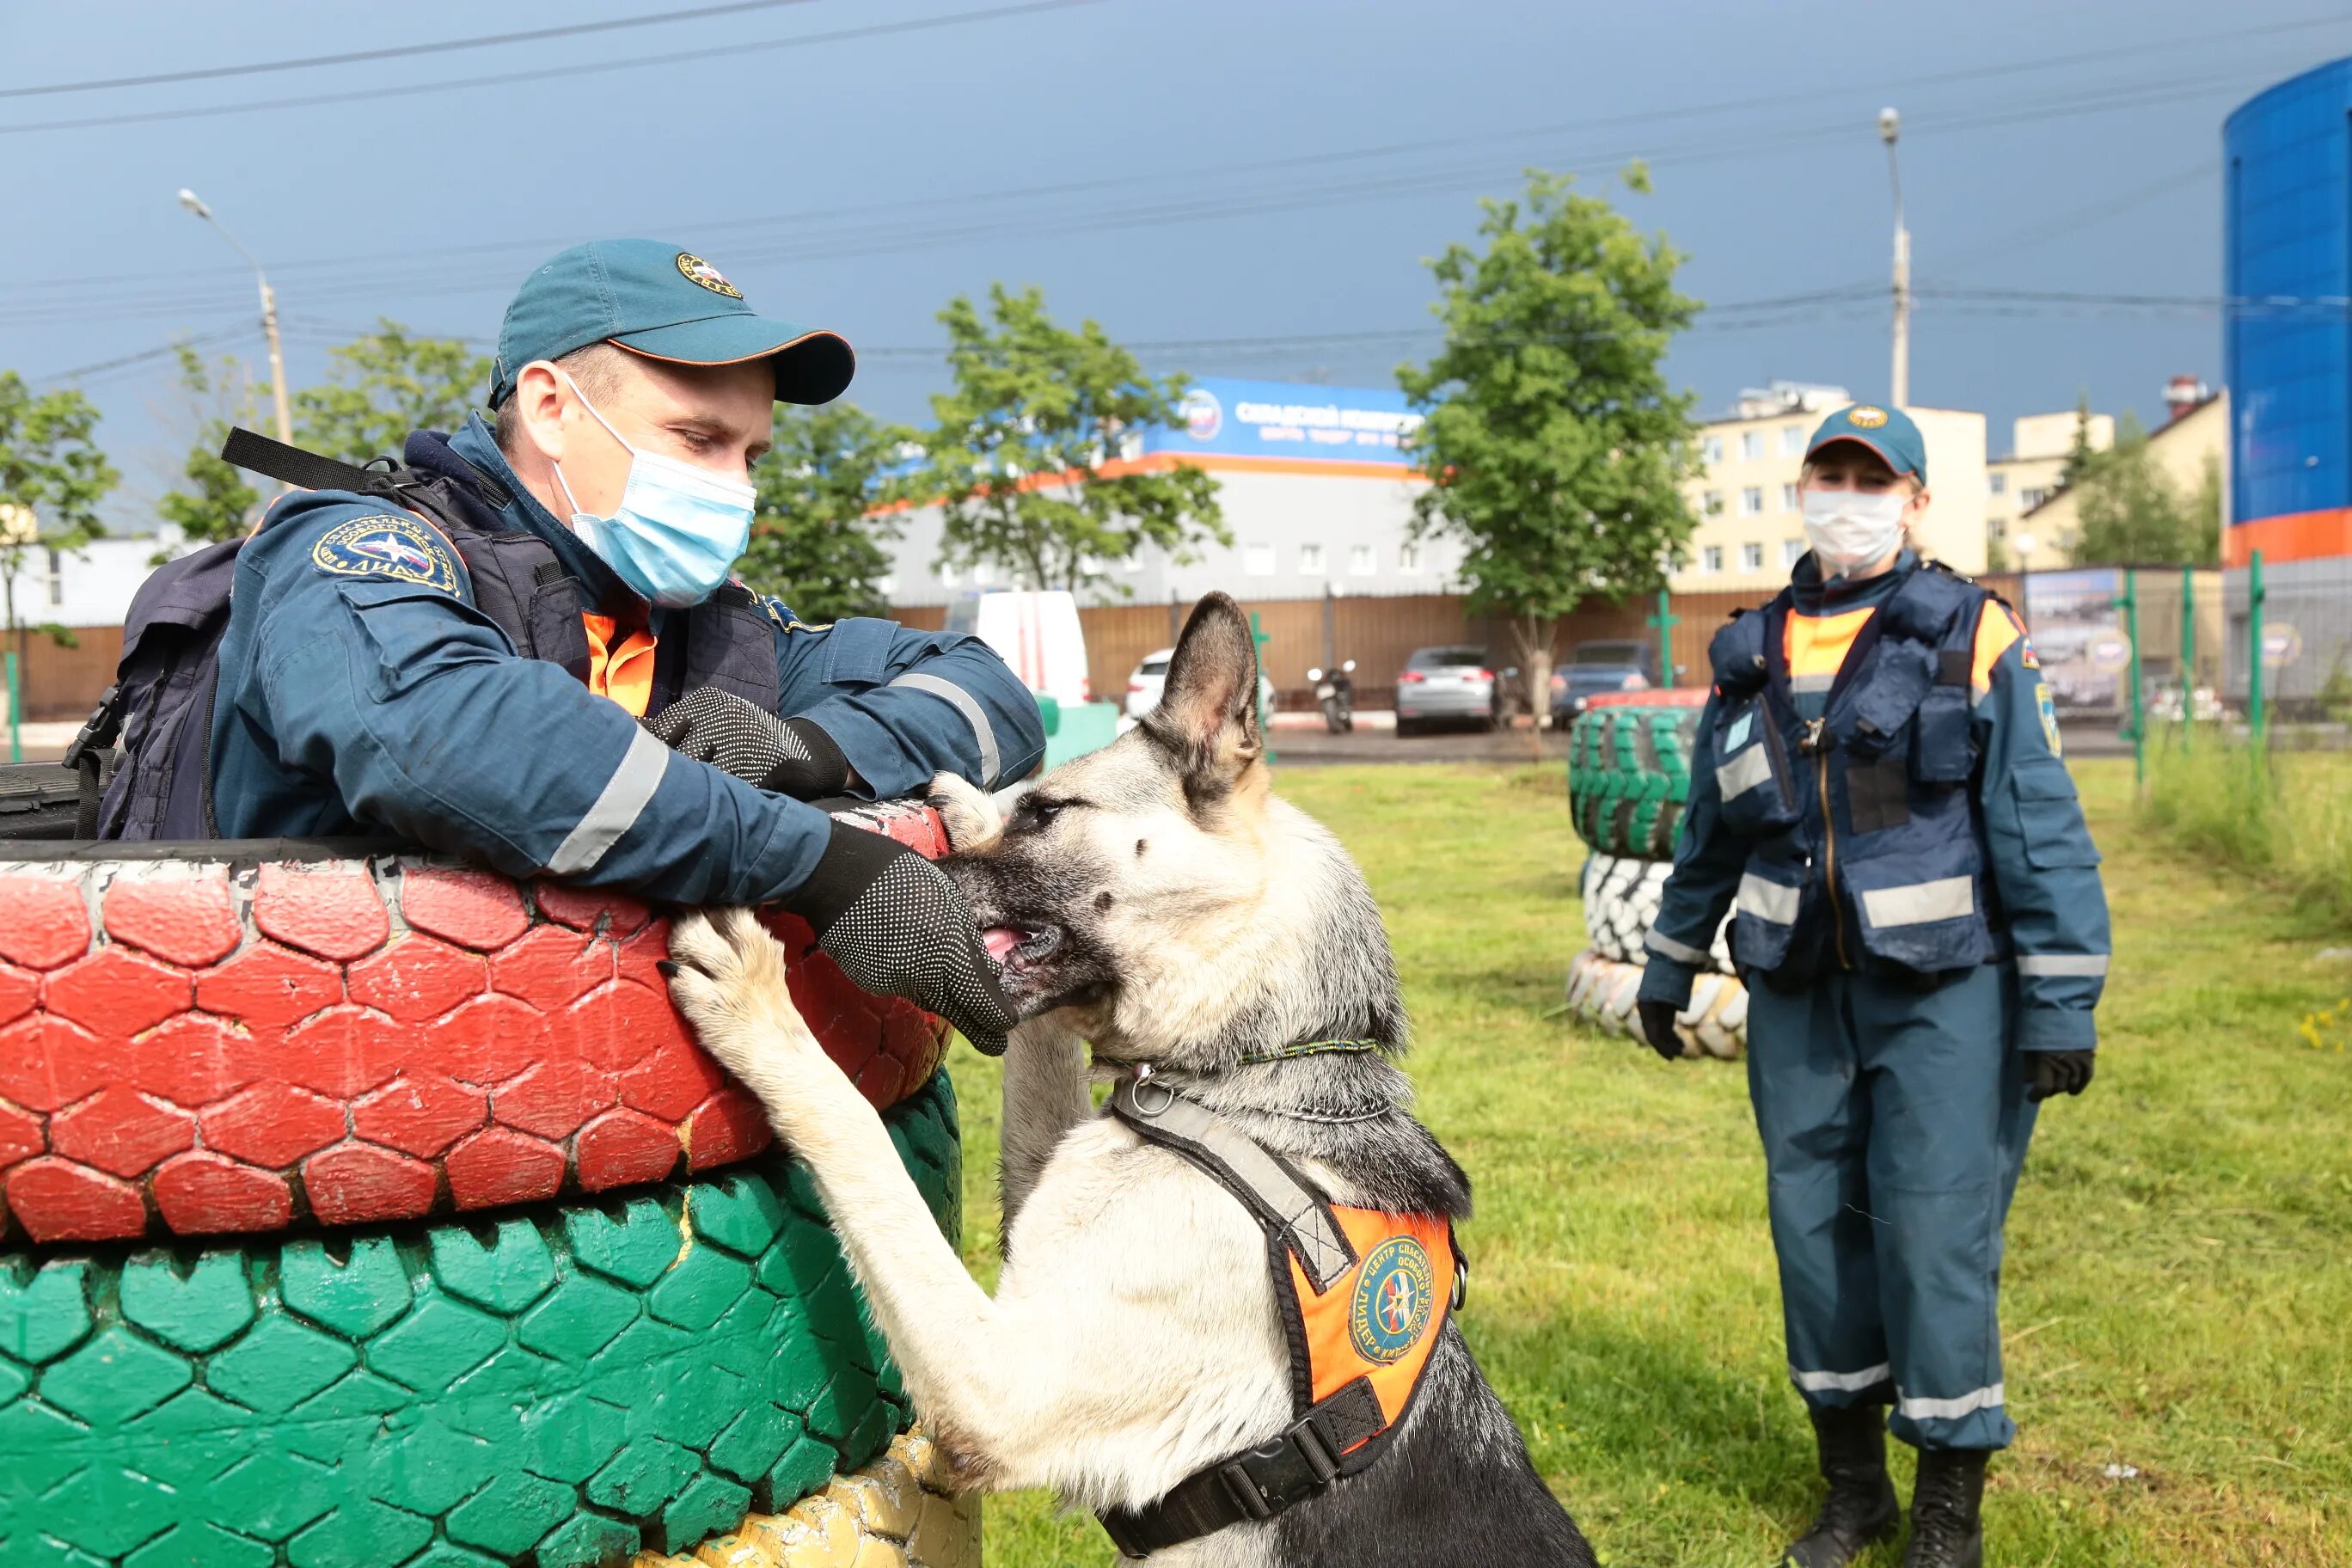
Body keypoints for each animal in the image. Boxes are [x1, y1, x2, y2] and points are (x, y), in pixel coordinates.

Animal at [658, 594, 1599, 1560]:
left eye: (1049, 813)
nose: (869, 878)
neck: (1245, 1073)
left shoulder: (1001, 1386)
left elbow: (859, 1139)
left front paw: (762, 1007)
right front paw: (967, 803)